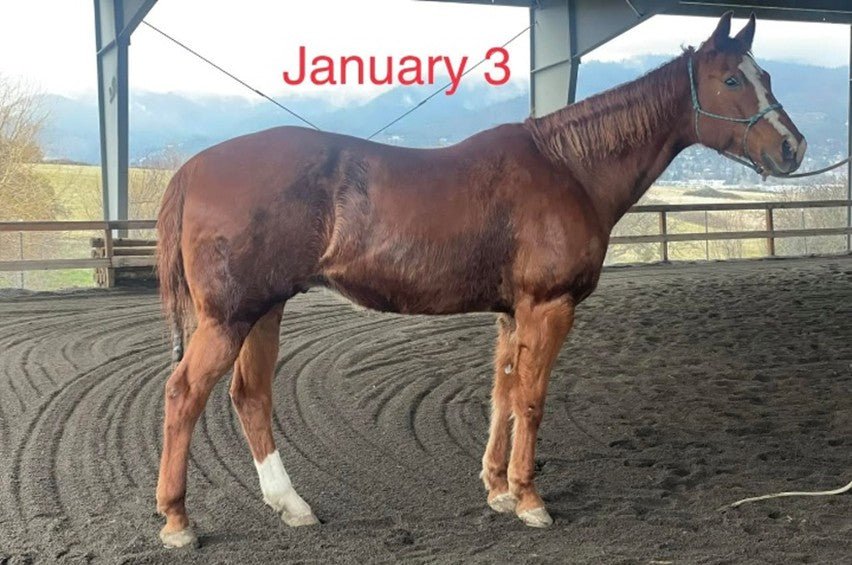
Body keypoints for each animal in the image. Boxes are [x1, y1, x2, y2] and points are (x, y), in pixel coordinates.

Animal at [154, 13, 805, 547]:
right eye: (732, 81)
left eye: (767, 73)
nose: (792, 148)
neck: (568, 167)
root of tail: (197, 166)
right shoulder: (549, 306)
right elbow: (532, 400)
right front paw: (530, 498)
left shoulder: (512, 312)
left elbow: (503, 394)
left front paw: (497, 489)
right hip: (231, 317)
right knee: (185, 393)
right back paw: (178, 519)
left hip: (263, 310)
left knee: (250, 396)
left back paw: (291, 506)